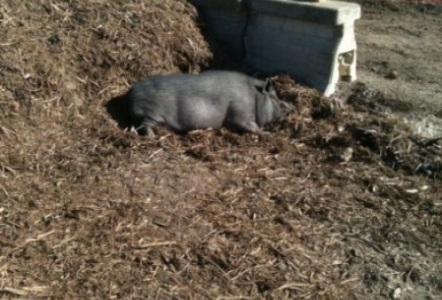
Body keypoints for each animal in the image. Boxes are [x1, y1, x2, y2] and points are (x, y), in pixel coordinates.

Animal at [125, 69, 290, 137]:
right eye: (275, 98)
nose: (290, 105)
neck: (254, 96)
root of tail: (130, 96)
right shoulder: (241, 112)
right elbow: (251, 126)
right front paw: (268, 134)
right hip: (152, 112)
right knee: (144, 125)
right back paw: (154, 137)